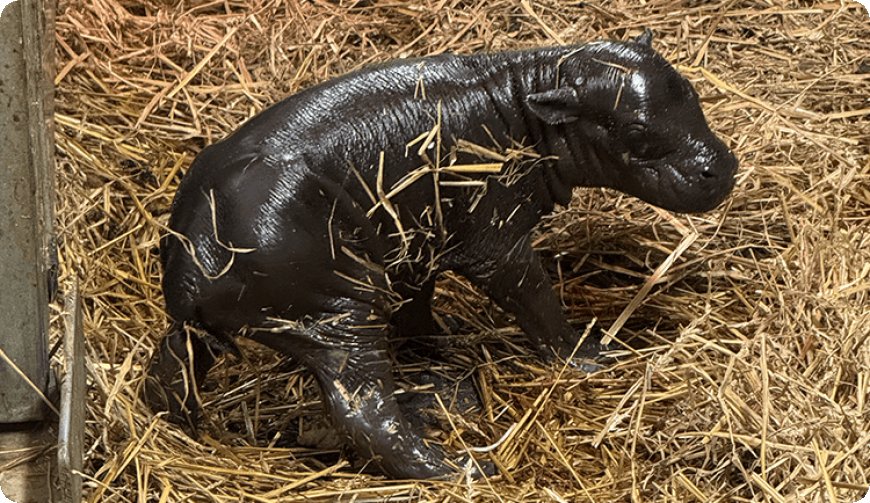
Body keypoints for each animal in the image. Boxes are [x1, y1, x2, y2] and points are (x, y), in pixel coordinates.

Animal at [142, 30, 737, 479]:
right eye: (634, 128)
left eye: (690, 89)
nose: (722, 167)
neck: (527, 98)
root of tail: (192, 264)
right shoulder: (495, 242)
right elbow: (536, 301)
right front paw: (590, 356)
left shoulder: (416, 243)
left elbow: (417, 307)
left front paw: (445, 345)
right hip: (338, 318)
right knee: (364, 414)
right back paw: (462, 467)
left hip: (224, 326)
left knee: (172, 367)